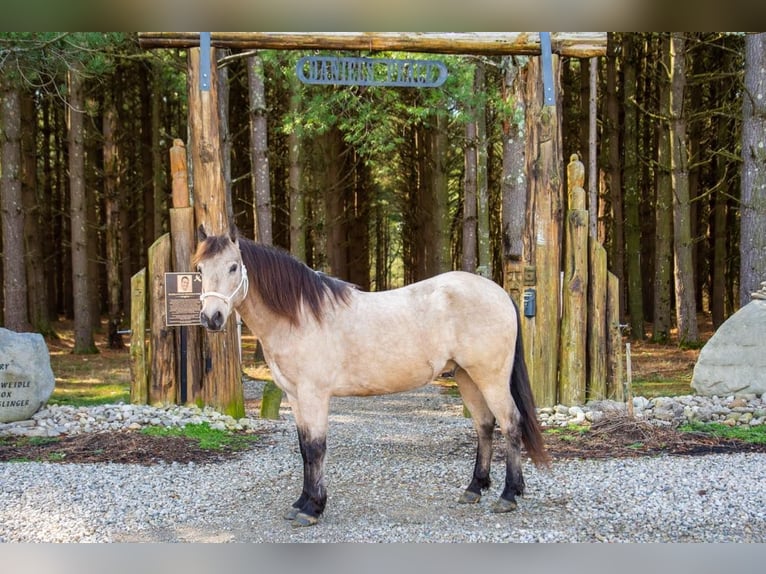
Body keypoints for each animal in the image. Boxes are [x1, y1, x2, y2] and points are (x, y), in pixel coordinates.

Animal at [195, 227, 548, 528]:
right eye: (199, 270)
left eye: (233, 267)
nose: (212, 318)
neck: (300, 316)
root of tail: (500, 293)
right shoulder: (295, 397)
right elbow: (304, 448)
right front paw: (301, 503)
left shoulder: (314, 395)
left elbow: (316, 449)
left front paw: (313, 509)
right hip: (466, 377)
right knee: (484, 425)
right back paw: (474, 488)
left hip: (490, 377)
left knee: (511, 423)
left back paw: (508, 495)